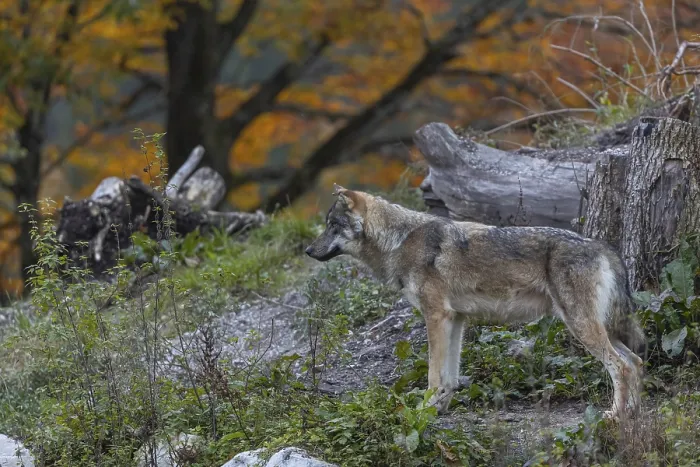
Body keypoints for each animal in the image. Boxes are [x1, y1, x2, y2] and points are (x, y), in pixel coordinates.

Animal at [305, 184, 646, 419]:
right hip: (599, 327)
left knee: (620, 366)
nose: (307, 250)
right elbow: (451, 376)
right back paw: (632, 415)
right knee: (636, 362)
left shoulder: (436, 315)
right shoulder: (455, 319)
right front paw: (439, 409)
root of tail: (601, 246)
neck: (399, 241)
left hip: (581, 326)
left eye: (333, 225)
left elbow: (434, 374)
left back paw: (615, 416)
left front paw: (423, 408)